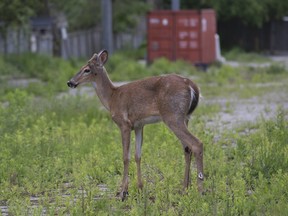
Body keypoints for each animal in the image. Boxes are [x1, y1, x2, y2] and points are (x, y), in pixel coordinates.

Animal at [67, 49, 204, 200]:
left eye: (86, 69)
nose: (70, 82)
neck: (112, 98)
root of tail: (192, 86)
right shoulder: (139, 125)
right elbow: (137, 156)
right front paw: (140, 188)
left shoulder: (124, 124)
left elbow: (125, 157)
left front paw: (123, 192)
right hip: (185, 117)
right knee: (187, 149)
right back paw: (185, 189)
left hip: (173, 116)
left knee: (197, 143)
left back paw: (200, 191)